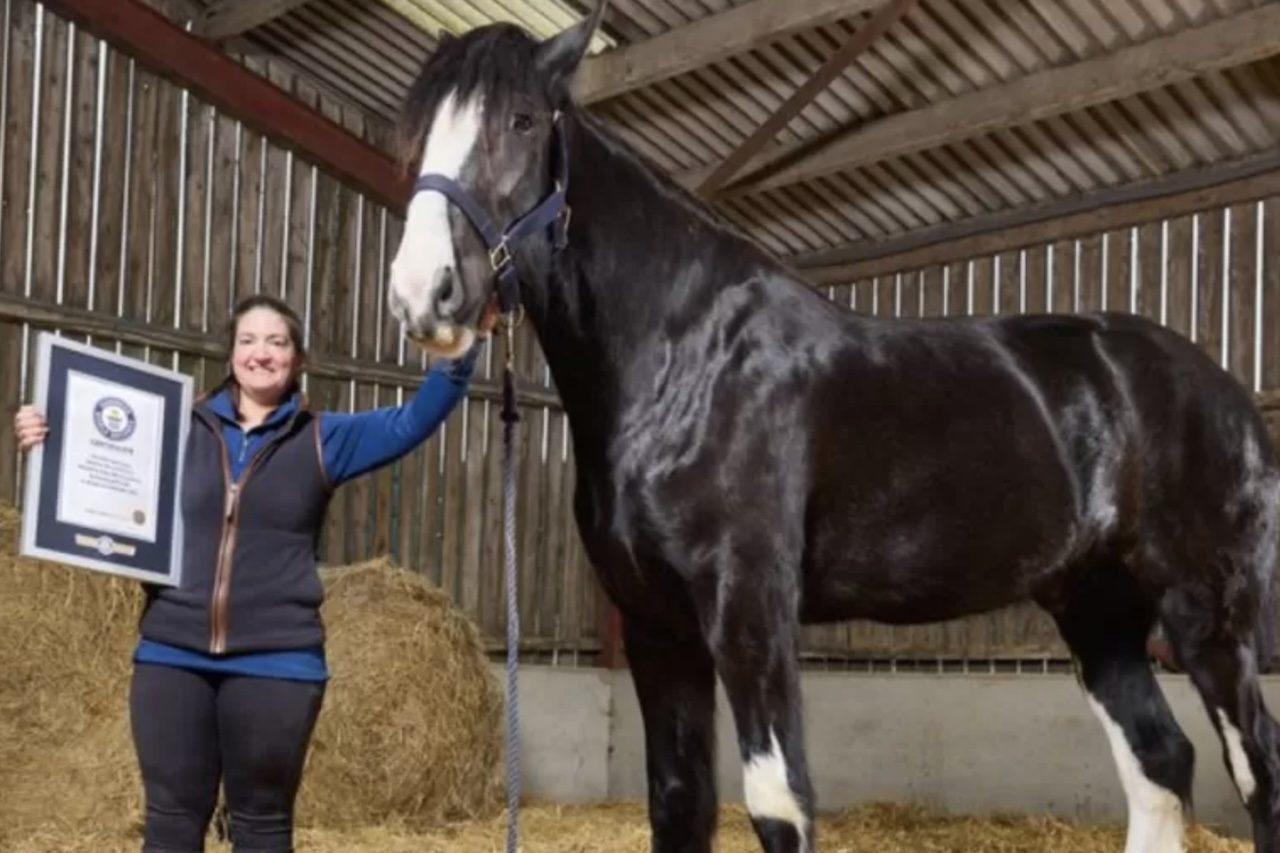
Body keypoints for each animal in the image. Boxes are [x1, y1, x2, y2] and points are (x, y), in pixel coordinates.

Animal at [384, 5, 1280, 851]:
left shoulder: (750, 610)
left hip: (1209, 616)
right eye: (418, 132)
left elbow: (779, 803)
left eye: (523, 121)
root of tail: (1226, 392)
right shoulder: (656, 625)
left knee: (1256, 768)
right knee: (1161, 760)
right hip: (1098, 609)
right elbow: (677, 804)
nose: (425, 293)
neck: (687, 356)